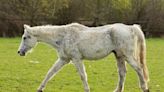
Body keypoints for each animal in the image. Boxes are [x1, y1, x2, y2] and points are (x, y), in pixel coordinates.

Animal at [18, 22, 150, 91]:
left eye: (25, 37)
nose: (19, 52)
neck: (63, 36)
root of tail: (131, 27)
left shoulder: (76, 59)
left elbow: (82, 76)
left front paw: (87, 89)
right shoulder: (63, 59)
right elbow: (50, 72)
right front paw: (40, 88)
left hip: (128, 56)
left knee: (139, 69)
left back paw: (144, 88)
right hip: (119, 56)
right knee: (122, 73)